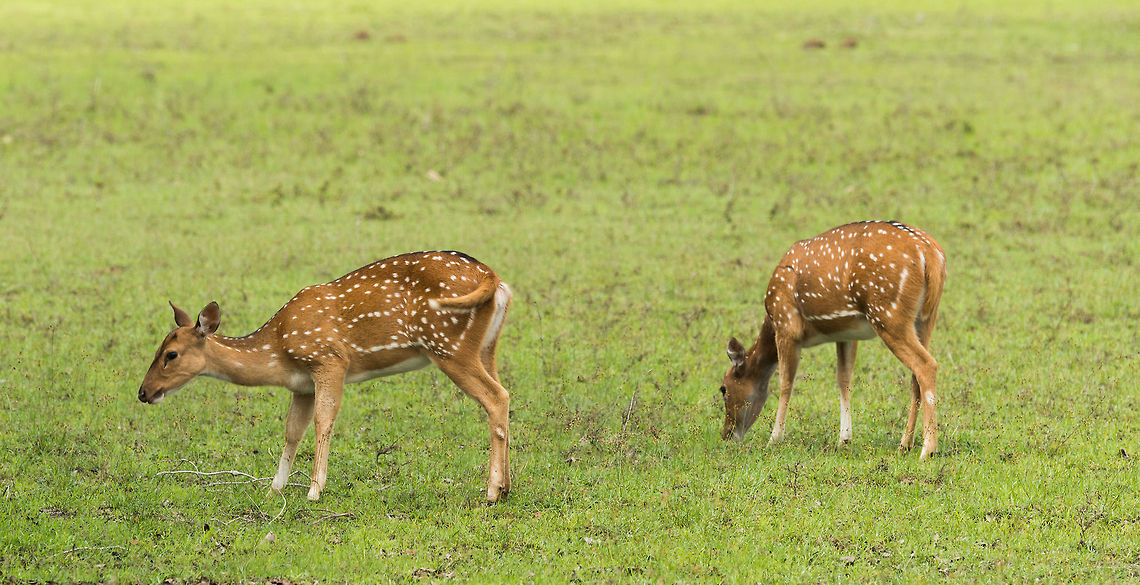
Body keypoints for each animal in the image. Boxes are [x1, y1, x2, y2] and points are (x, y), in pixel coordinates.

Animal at [138, 251, 513, 503]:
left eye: (171, 354)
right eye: (158, 348)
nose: (143, 392)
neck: (278, 349)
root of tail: (495, 279)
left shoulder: (329, 360)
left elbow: (324, 421)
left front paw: (314, 490)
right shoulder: (302, 384)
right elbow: (292, 431)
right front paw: (275, 487)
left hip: (448, 345)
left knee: (497, 397)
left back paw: (492, 491)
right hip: (486, 347)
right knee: (504, 394)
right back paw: (507, 486)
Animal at [719, 221, 946, 459]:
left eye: (723, 388)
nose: (726, 434)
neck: (771, 320)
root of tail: (931, 255)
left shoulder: (787, 326)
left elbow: (786, 383)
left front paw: (774, 440)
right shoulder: (846, 334)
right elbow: (843, 379)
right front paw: (844, 439)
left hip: (888, 313)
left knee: (926, 365)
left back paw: (928, 449)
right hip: (925, 318)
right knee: (915, 376)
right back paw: (905, 444)